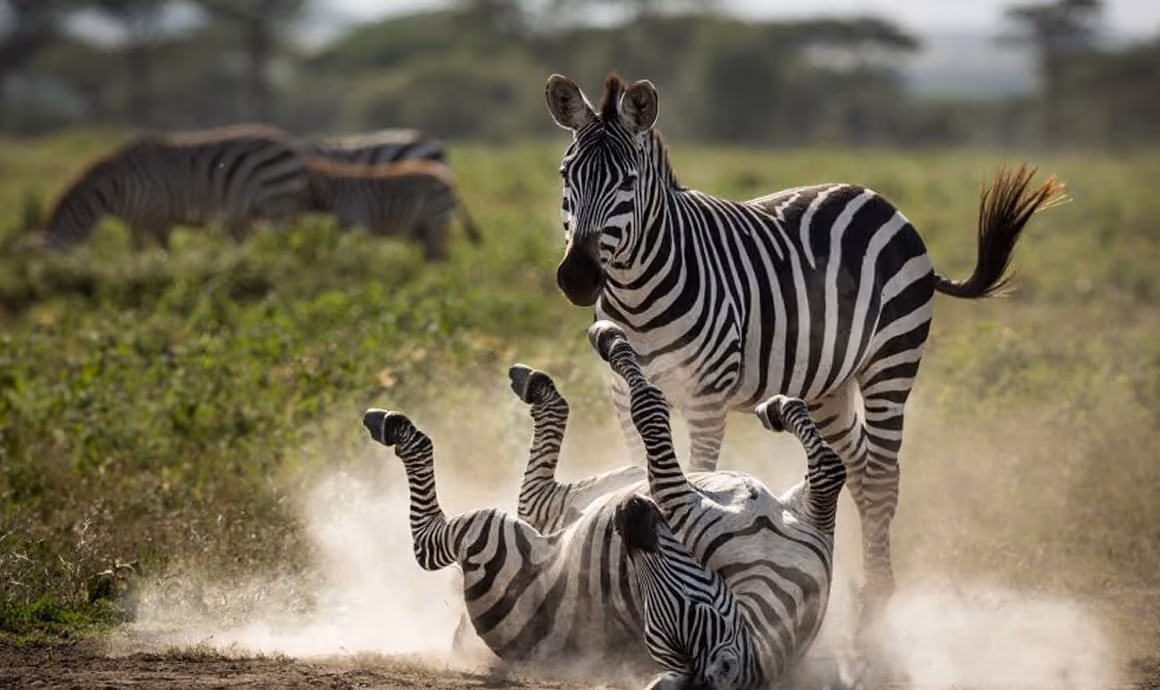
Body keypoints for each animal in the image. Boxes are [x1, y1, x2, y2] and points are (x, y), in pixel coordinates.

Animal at [36, 124, 309, 251]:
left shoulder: (158, 215)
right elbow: (136, 252)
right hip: (256, 210)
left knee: (284, 239)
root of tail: (290, 141)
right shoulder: (137, 222)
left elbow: (164, 250)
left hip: (275, 202)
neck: (116, 187)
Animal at [304, 158, 482, 262]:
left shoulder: (356, 222)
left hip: (435, 218)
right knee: (435, 255)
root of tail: (449, 177)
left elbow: (354, 253)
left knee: (438, 256)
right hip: (422, 227)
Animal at [362, 320, 850, 689]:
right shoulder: (809, 514)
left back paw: (399, 430)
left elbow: (649, 407)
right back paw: (538, 383)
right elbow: (830, 465)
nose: (629, 515)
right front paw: (780, 407)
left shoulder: (679, 499)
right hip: (591, 493)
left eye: (692, 615)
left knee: (435, 541)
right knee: (534, 491)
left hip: (494, 538)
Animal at [544, 72, 1068, 617]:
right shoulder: (622, 393)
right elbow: (639, 465)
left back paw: (879, 600)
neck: (637, 291)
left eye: (627, 181)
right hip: (826, 385)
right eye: (565, 174)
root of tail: (877, 199)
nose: (577, 278)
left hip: (892, 360)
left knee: (883, 475)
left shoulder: (706, 397)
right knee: (859, 465)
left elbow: (696, 475)